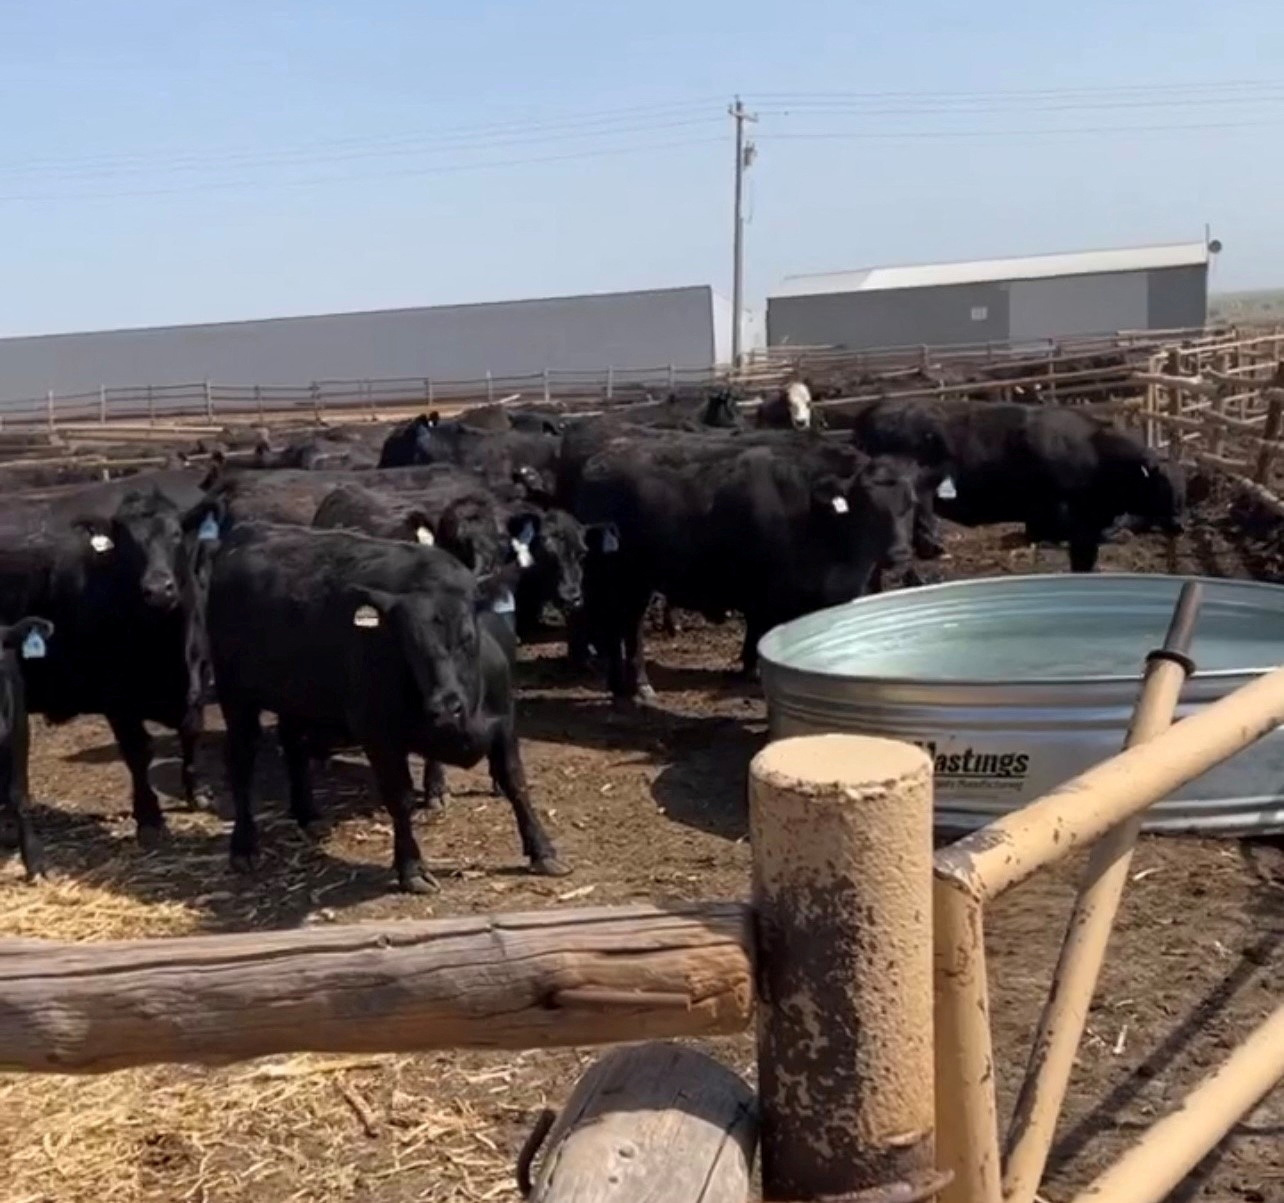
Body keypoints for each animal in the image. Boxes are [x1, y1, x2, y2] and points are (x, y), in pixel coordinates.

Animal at [205, 526, 567, 893]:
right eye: (409, 645)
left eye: (468, 637)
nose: (444, 707)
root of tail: (251, 532)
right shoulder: (379, 736)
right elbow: (400, 798)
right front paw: (411, 868)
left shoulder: (504, 724)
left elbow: (515, 783)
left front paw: (543, 851)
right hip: (236, 698)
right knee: (241, 764)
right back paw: (244, 846)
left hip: (296, 697)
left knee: (292, 745)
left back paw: (307, 813)